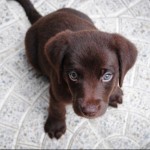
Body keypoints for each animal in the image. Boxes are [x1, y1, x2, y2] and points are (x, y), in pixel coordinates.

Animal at [14, 0, 138, 139]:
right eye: (73, 75)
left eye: (107, 76)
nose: (89, 111)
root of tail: (42, 18)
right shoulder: (56, 90)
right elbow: (57, 108)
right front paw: (56, 125)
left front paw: (114, 93)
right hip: (32, 53)